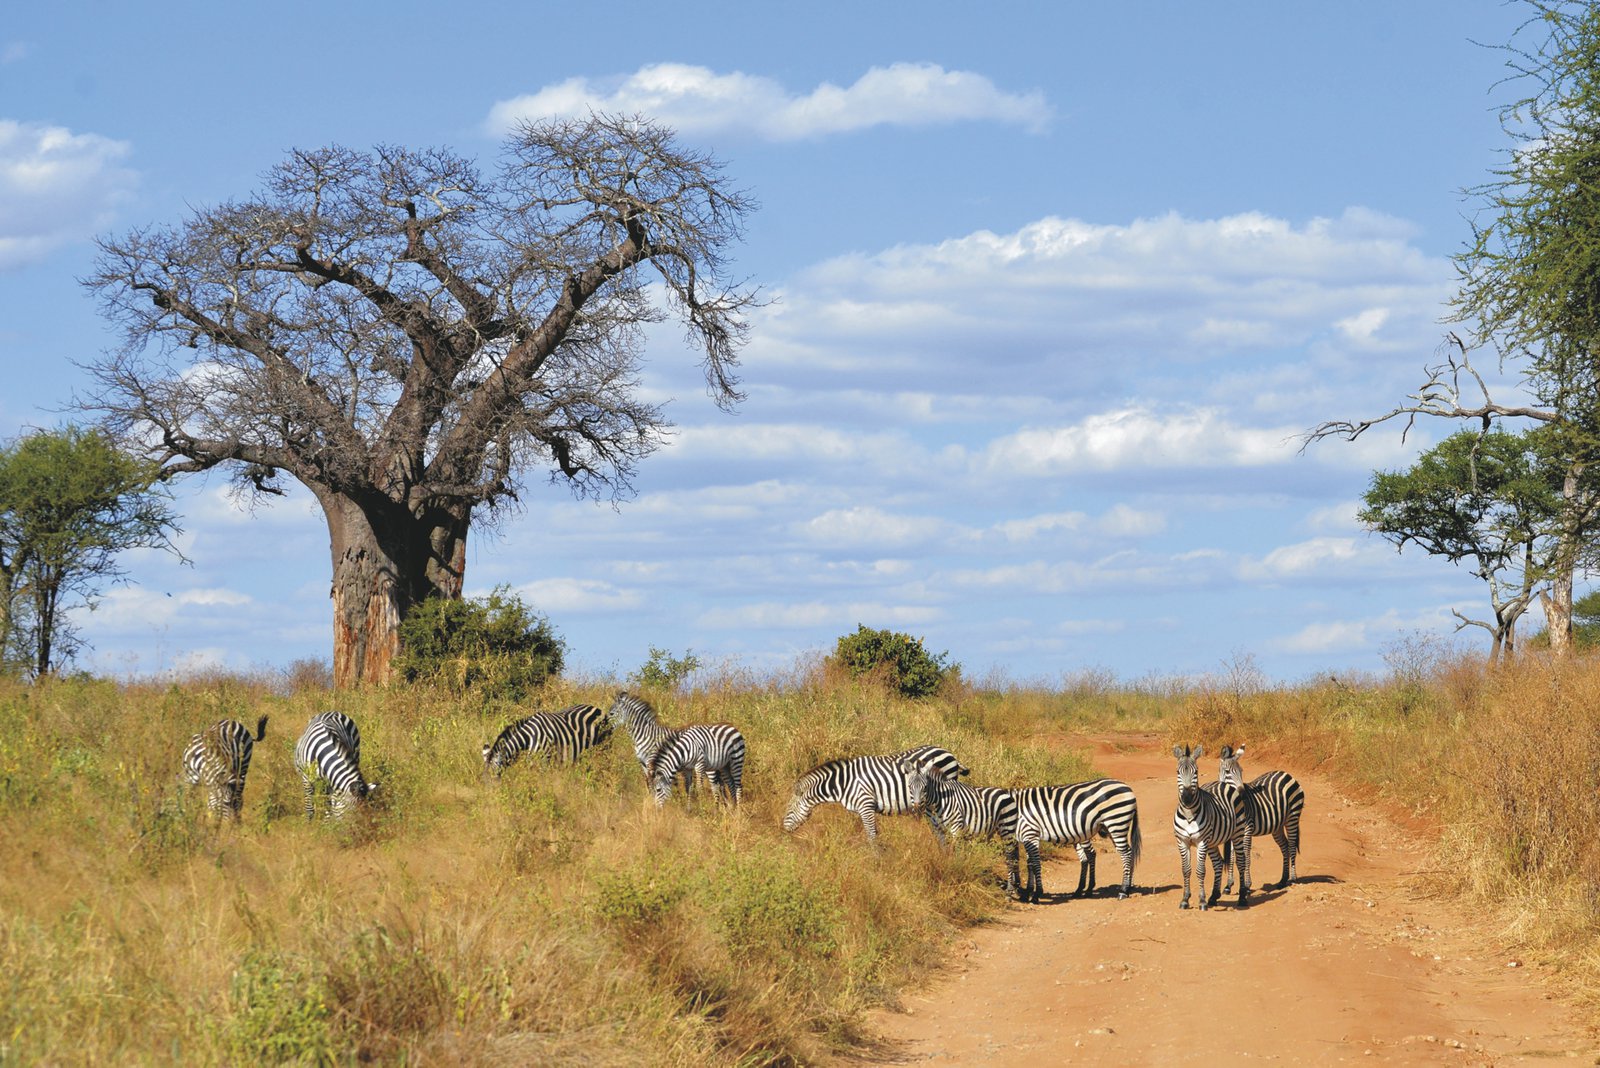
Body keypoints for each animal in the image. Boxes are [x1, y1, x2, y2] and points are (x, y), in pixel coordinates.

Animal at [784, 748, 960, 844]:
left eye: (790, 809)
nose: (783, 830)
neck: (845, 783)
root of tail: (949, 753)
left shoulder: (866, 805)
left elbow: (871, 836)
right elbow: (875, 834)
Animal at [1011, 777, 1139, 901]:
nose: (1015, 890)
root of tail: (1126, 787)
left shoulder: (1030, 834)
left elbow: (1029, 862)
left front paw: (1029, 893)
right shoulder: (1026, 837)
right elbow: (1027, 862)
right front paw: (1026, 892)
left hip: (1116, 822)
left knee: (1124, 853)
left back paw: (1122, 890)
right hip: (1111, 828)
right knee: (1128, 851)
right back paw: (1127, 887)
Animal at [1171, 741, 1254, 908]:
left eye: (1196, 772)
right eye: (1178, 772)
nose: (1187, 798)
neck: (1189, 814)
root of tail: (1222, 784)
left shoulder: (1201, 841)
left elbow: (1200, 870)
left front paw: (1202, 900)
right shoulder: (1182, 841)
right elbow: (1186, 870)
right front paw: (1185, 899)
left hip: (1238, 834)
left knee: (1241, 861)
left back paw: (1242, 897)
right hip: (1213, 841)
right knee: (1217, 863)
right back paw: (1214, 896)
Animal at [1216, 741, 1305, 895]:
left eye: (1241, 771)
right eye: (1227, 772)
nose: (1243, 794)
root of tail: (1286, 774)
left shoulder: (1247, 829)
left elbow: (1245, 856)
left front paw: (1246, 885)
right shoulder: (1234, 832)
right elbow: (1233, 856)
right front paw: (1228, 885)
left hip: (1292, 817)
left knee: (1292, 845)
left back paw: (1293, 879)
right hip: (1278, 826)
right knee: (1286, 846)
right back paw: (1283, 880)